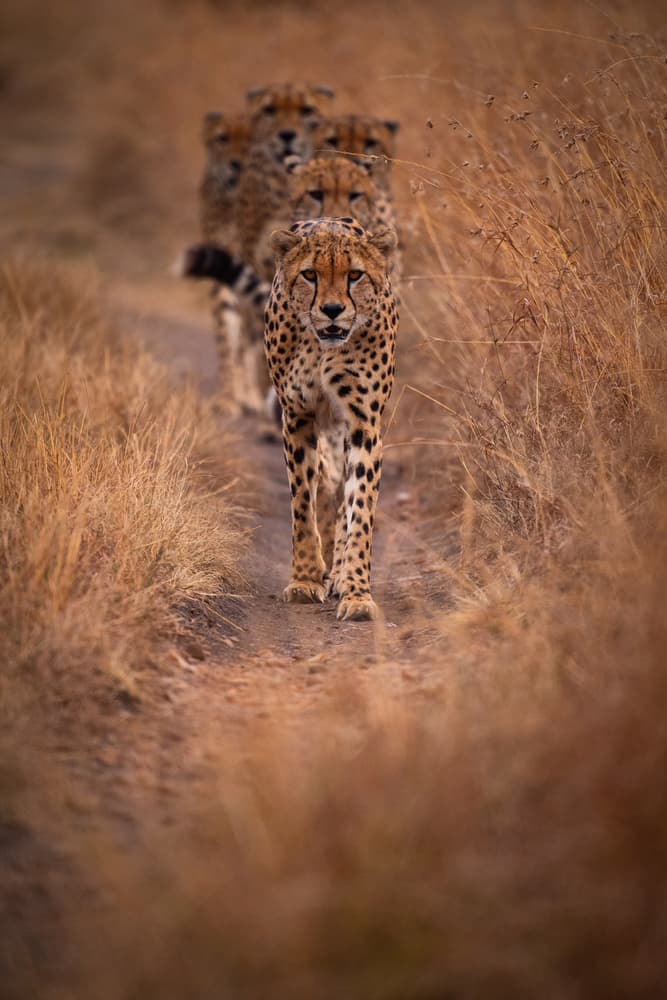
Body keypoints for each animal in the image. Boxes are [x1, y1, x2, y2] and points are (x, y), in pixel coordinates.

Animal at [264, 217, 399, 622]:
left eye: (355, 275)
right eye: (310, 274)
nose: (334, 309)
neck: (324, 346)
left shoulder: (363, 423)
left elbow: (360, 508)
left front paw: (356, 592)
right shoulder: (298, 416)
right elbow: (303, 504)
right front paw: (305, 579)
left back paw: (338, 571)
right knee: (325, 486)